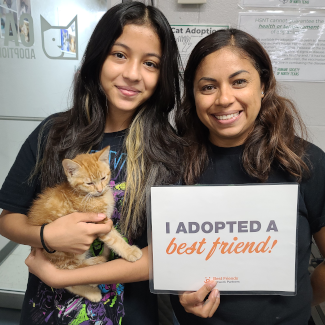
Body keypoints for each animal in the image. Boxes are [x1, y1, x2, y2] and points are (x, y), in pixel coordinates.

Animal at [28, 146, 142, 302]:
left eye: (103, 178)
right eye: (89, 183)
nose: (100, 189)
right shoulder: (99, 223)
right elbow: (115, 239)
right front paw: (130, 251)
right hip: (65, 252)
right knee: (69, 274)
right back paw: (94, 277)